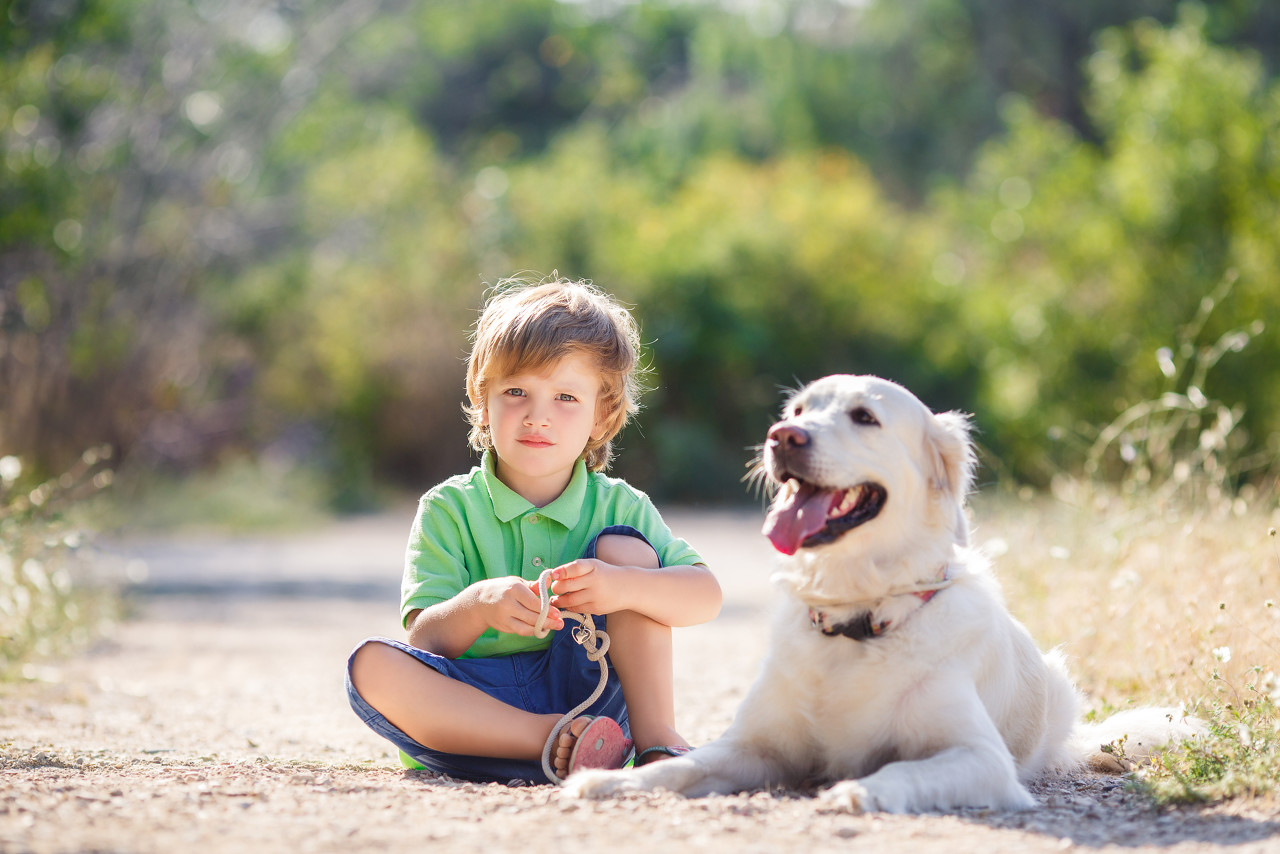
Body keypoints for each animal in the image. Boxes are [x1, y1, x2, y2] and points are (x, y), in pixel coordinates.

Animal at [570, 376, 1198, 814]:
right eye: (797, 412)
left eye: (865, 417)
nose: (781, 438)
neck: (858, 613)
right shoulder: (754, 745)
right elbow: (679, 768)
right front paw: (607, 781)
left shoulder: (982, 758)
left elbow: (902, 771)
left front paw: (857, 791)